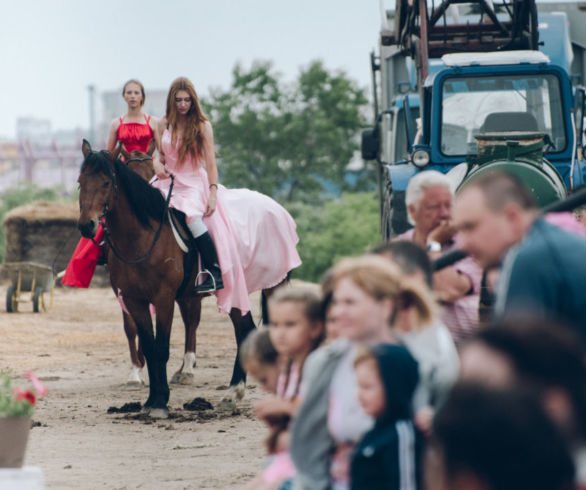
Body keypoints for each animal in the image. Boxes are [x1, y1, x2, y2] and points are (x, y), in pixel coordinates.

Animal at [78, 139, 282, 418]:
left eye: (107, 183)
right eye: (80, 182)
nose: (86, 225)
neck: (141, 237)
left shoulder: (163, 299)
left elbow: (162, 348)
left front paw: (161, 402)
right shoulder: (133, 299)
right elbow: (149, 346)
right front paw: (152, 399)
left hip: (270, 287)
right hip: (235, 292)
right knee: (245, 329)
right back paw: (232, 393)